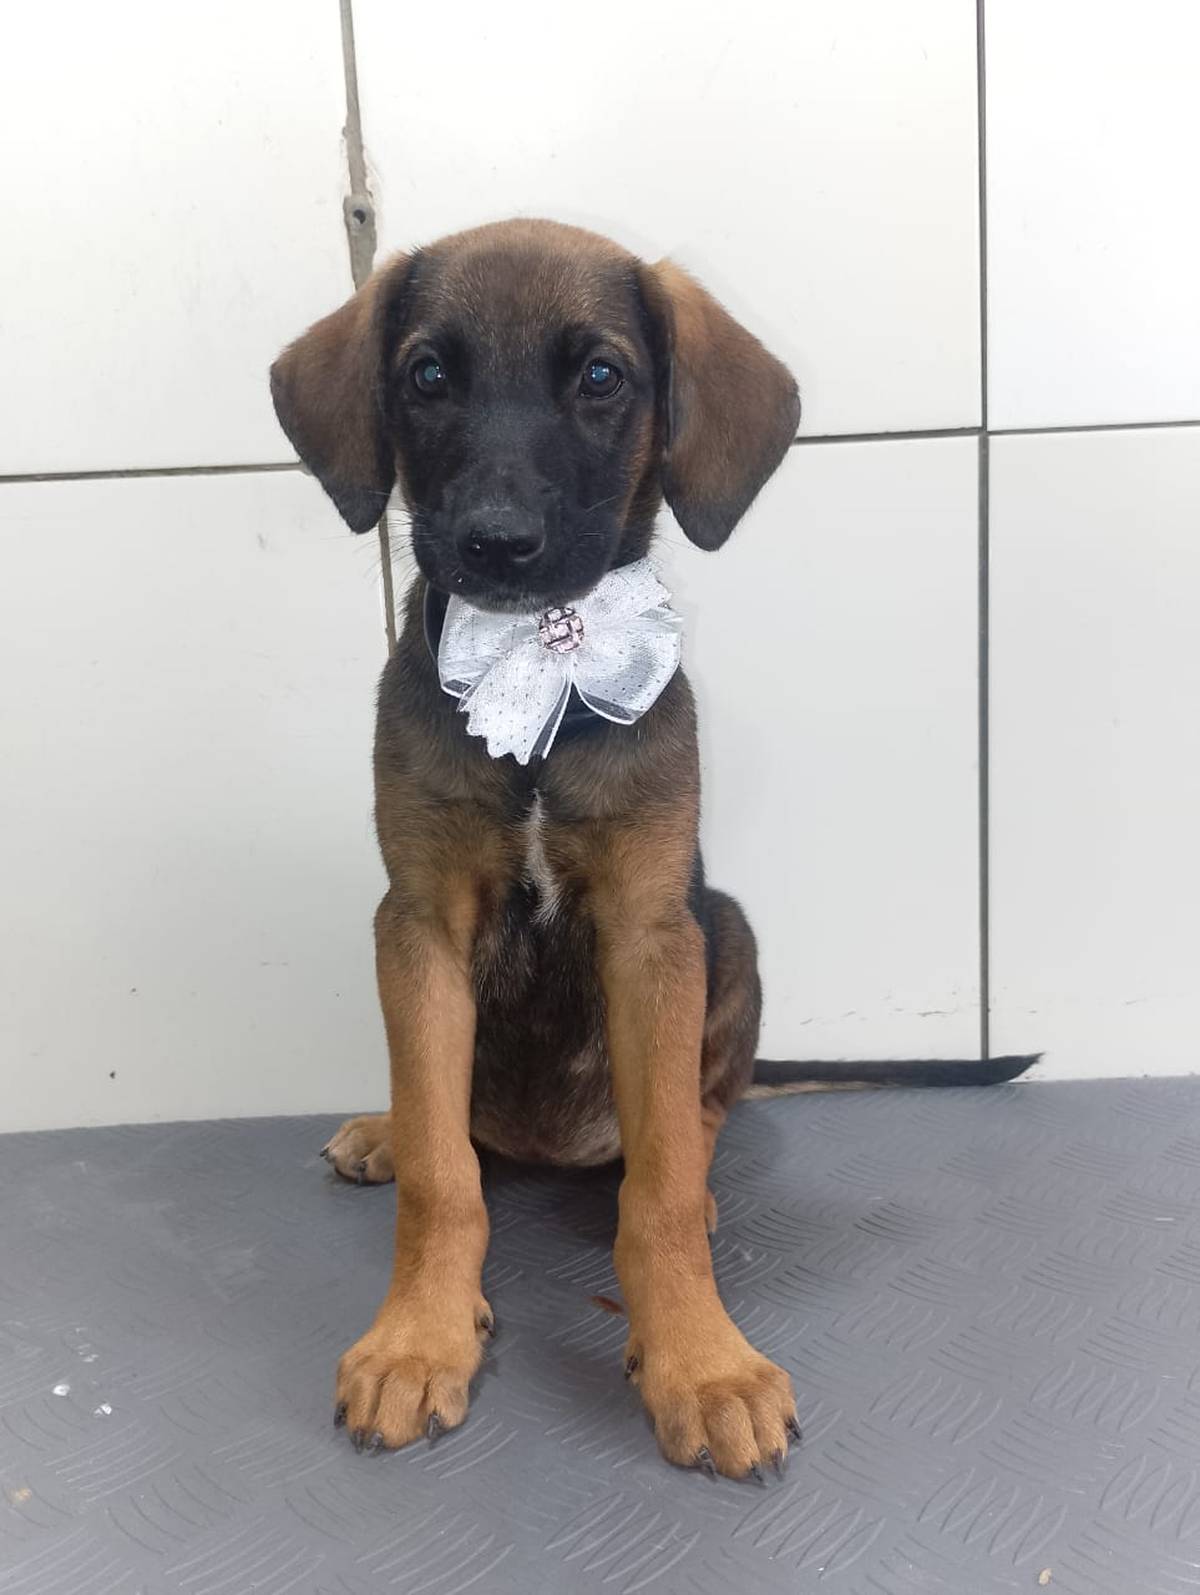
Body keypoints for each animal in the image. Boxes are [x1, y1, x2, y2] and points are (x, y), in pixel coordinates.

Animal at [270, 218, 1031, 1481]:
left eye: (600, 376)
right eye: (426, 377)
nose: (498, 545)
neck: (542, 671)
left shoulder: (648, 928)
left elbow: (663, 1185)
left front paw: (700, 1361)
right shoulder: (419, 922)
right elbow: (442, 1175)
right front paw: (420, 1333)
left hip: (727, 929)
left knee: (703, 1111)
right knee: (454, 1129)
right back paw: (385, 1126)